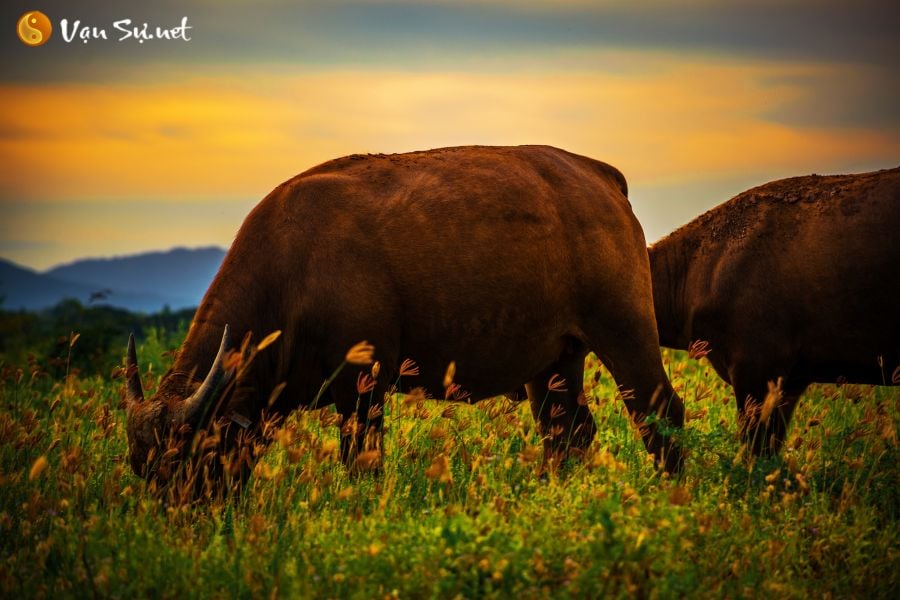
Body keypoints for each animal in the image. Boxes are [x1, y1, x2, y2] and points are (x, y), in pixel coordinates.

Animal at [121, 145, 684, 492]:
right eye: (142, 469)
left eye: (188, 458)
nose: (181, 521)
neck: (294, 265)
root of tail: (601, 177)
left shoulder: (363, 389)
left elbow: (362, 463)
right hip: (553, 366)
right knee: (567, 434)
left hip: (625, 336)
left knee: (660, 413)